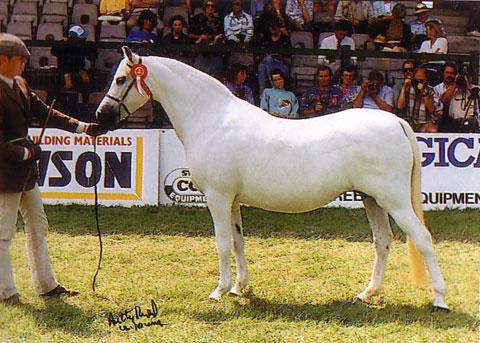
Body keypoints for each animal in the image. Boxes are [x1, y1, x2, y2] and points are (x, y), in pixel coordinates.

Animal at [96, 45, 450, 312]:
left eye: (121, 79)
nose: (100, 116)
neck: (212, 119)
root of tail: (398, 123)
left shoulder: (217, 197)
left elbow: (221, 242)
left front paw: (219, 290)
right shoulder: (232, 200)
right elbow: (238, 241)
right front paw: (239, 288)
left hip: (394, 199)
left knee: (422, 239)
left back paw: (439, 300)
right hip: (372, 199)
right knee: (382, 241)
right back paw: (367, 293)